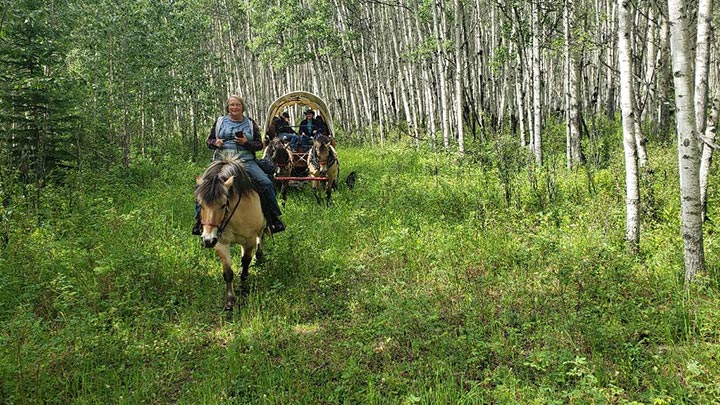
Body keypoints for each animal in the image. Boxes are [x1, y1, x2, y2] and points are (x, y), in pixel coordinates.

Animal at [195, 157, 267, 312]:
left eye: (223, 204)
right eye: (200, 204)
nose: (208, 240)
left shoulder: (249, 241)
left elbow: (245, 263)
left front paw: (244, 287)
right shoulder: (221, 242)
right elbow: (228, 273)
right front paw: (229, 301)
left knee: (261, 236)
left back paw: (259, 256)